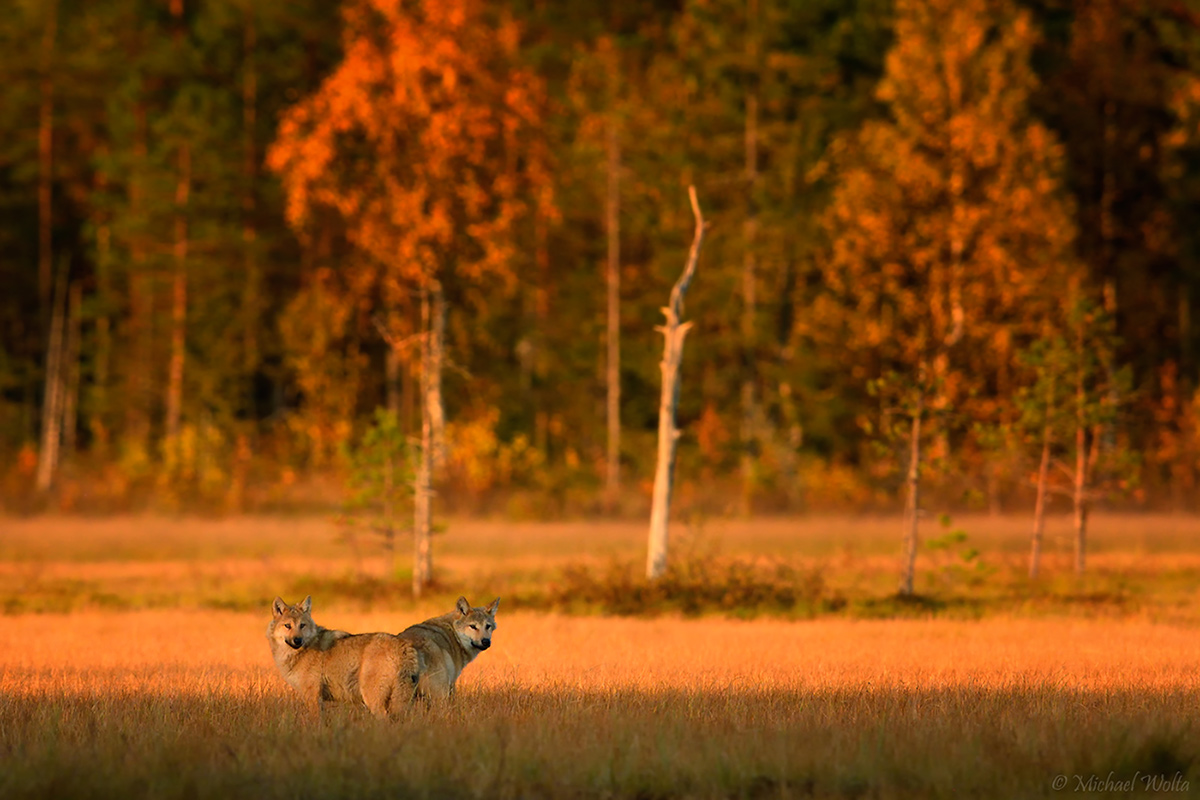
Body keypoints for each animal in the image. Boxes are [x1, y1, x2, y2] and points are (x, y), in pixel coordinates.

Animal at [267, 594, 422, 719]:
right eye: (288, 626)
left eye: (302, 625)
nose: (298, 640)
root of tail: (404, 646)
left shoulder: (313, 696)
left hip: (373, 699)